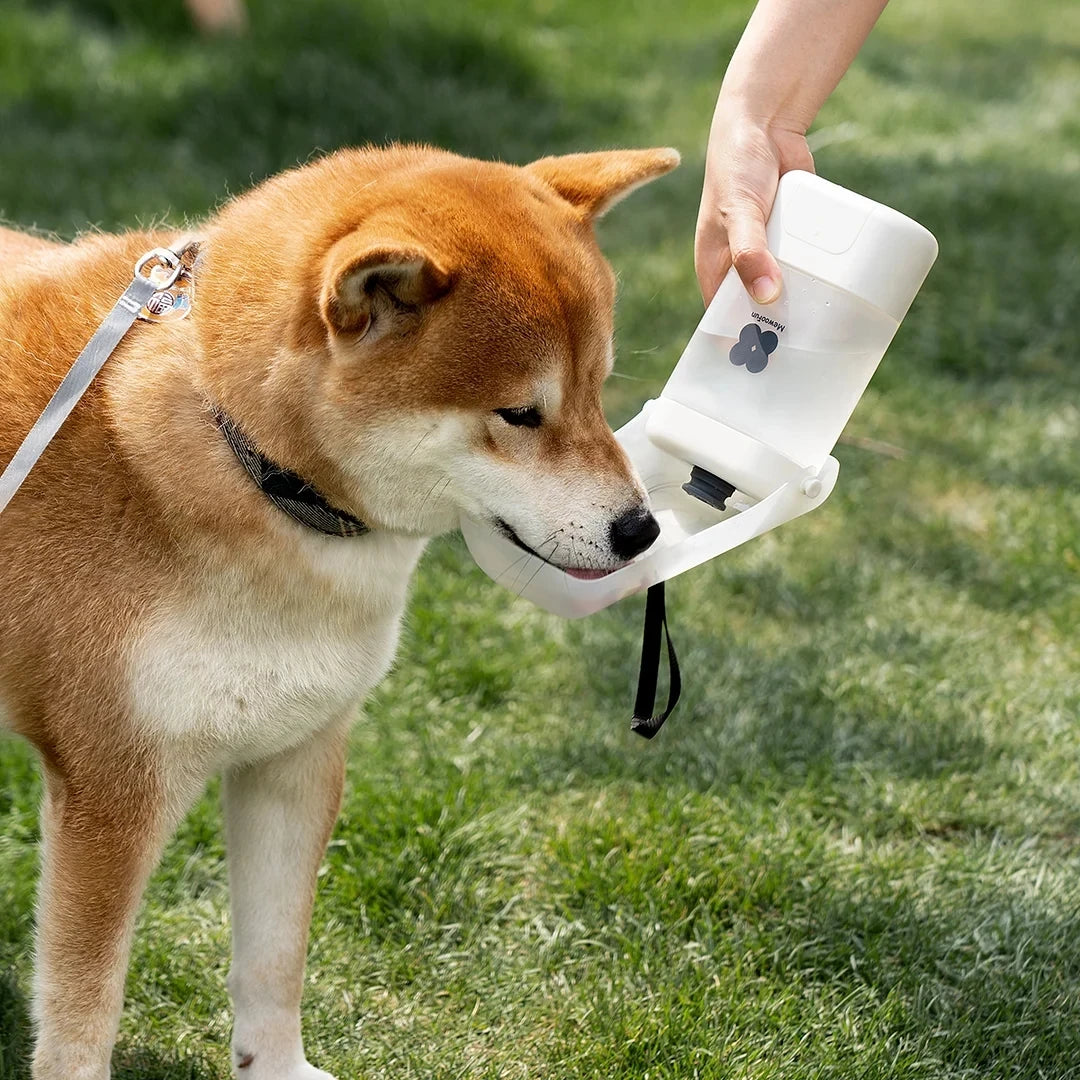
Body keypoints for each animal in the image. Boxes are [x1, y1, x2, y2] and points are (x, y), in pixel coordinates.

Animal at [0, 145, 673, 1080]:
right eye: (519, 414)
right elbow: (82, 1009)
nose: (641, 529)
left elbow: (276, 959)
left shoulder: (298, 753)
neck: (251, 461)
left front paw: (278, 1067)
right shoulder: (112, 787)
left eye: (597, 391)